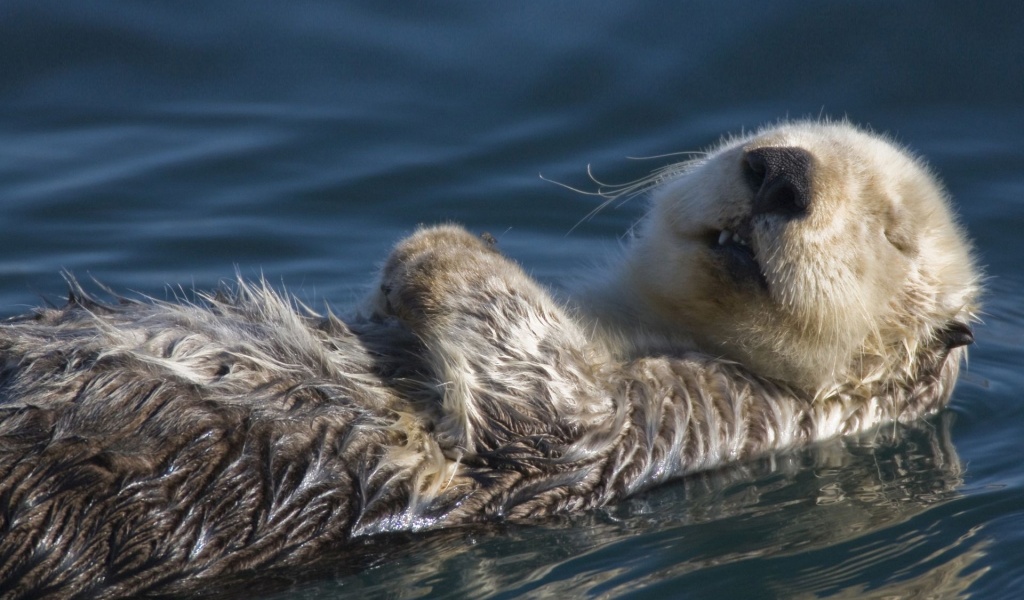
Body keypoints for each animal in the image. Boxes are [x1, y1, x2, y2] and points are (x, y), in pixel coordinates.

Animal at [0, 119, 978, 593]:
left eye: (891, 233)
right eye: (763, 142)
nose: (782, 171)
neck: (635, 323)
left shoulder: (694, 417)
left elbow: (549, 407)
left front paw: (439, 247)